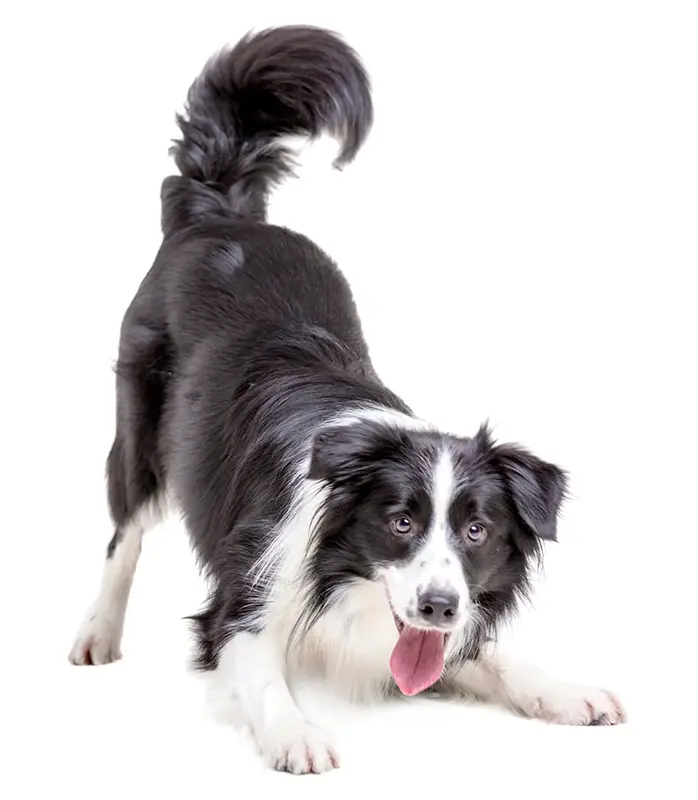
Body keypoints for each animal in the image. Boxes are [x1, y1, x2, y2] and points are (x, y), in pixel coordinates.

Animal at [69, 25, 624, 776]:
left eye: (477, 531)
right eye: (400, 522)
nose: (439, 607)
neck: (345, 580)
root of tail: (219, 216)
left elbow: (496, 658)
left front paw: (566, 691)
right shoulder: (241, 599)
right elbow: (261, 671)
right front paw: (296, 733)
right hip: (142, 429)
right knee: (122, 533)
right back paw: (97, 634)